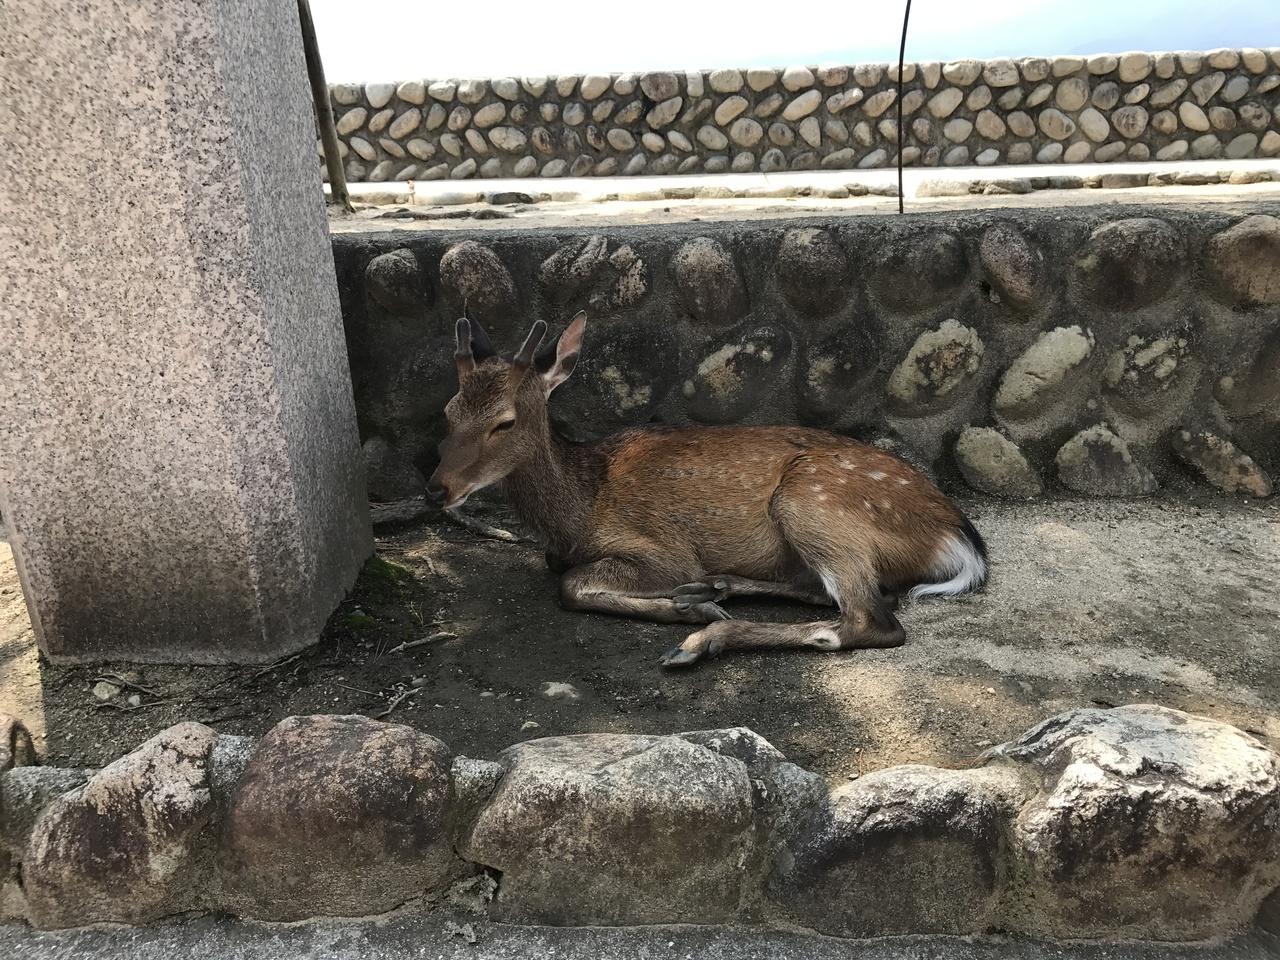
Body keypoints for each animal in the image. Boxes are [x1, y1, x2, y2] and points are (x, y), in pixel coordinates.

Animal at [427, 312, 988, 668]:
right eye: (448, 411)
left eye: (504, 422)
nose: (437, 488)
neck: (578, 508)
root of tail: (961, 540)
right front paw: (691, 599)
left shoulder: (661, 548)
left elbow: (571, 585)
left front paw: (682, 609)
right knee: (830, 593)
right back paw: (717, 587)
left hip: (811, 501)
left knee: (871, 620)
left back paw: (701, 635)